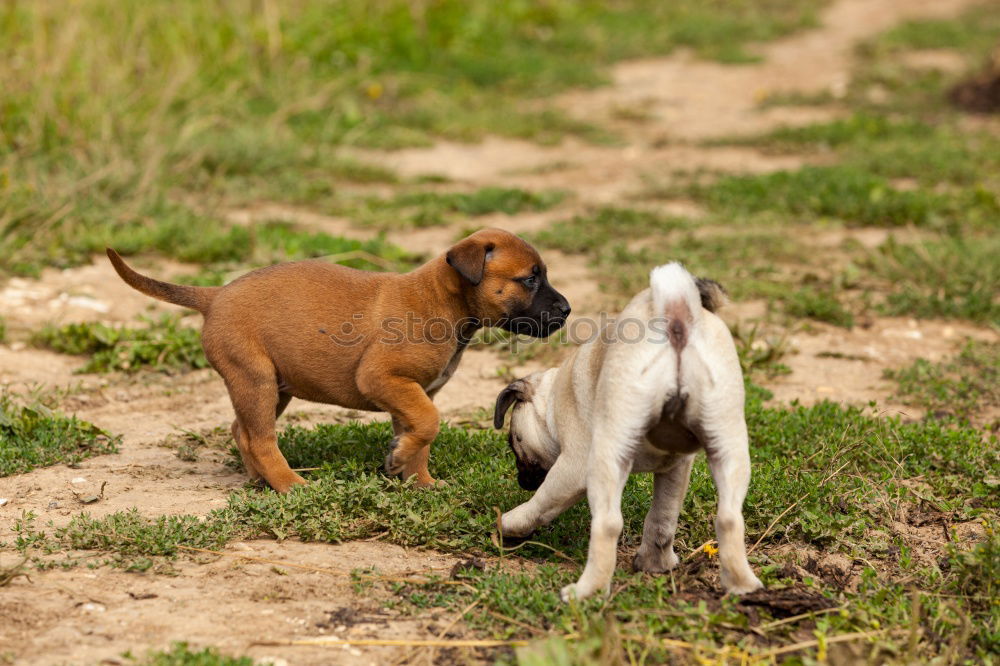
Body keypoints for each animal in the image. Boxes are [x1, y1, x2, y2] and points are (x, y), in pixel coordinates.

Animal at [107, 228, 572, 492]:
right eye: (529, 279)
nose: (567, 310)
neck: (443, 300)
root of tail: (215, 295)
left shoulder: (410, 394)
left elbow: (420, 434)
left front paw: (418, 479)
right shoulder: (386, 380)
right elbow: (429, 423)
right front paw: (403, 464)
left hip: (271, 387)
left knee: (242, 431)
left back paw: (260, 481)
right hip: (255, 380)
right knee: (260, 438)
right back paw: (290, 484)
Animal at [494, 262, 764, 600]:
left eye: (512, 441)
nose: (522, 480)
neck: (554, 399)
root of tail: (675, 310)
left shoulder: (573, 467)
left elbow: (542, 504)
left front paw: (510, 523)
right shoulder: (676, 468)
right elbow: (663, 518)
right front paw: (656, 564)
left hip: (606, 458)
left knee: (607, 524)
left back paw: (586, 592)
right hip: (728, 444)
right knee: (729, 518)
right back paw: (742, 585)